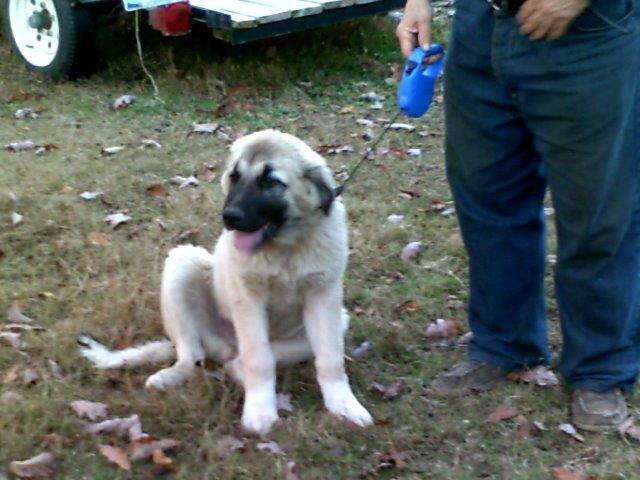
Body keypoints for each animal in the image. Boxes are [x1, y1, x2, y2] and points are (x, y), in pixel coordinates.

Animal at [78, 128, 372, 436]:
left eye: (271, 181)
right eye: (235, 177)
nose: (229, 217)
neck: (284, 247)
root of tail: (223, 346)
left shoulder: (323, 296)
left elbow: (330, 357)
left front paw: (342, 403)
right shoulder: (248, 299)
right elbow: (259, 359)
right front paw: (260, 410)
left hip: (337, 321)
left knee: (248, 357)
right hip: (184, 262)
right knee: (192, 354)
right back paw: (174, 375)